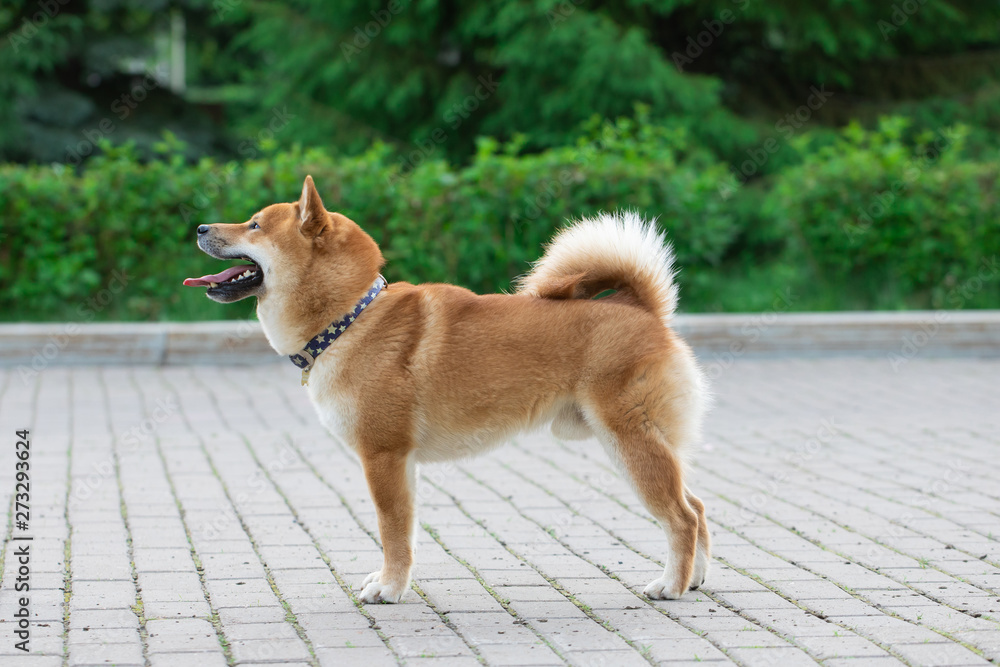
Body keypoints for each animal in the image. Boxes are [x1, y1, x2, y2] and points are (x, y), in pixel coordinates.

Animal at [184, 175, 708, 604]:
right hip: (642, 444)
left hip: (629, 442)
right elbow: (405, 533)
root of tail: (643, 309)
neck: (352, 319)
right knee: (697, 507)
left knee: (681, 517)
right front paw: (393, 581)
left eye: (254, 225)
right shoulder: (402, 463)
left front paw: (388, 589)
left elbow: (391, 531)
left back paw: (670, 585)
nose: (201, 226)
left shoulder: (383, 456)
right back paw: (695, 580)